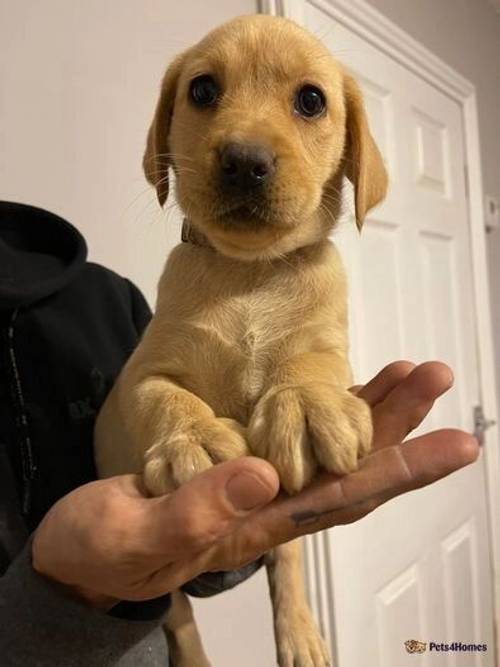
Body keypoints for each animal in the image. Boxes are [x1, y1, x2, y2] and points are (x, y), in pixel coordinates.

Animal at [95, 11, 388, 667]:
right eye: (202, 90)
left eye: (311, 100)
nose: (244, 160)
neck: (250, 272)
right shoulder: (144, 372)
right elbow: (167, 399)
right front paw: (196, 441)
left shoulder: (328, 346)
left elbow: (311, 367)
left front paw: (302, 404)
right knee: (179, 618)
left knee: (288, 562)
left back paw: (301, 635)